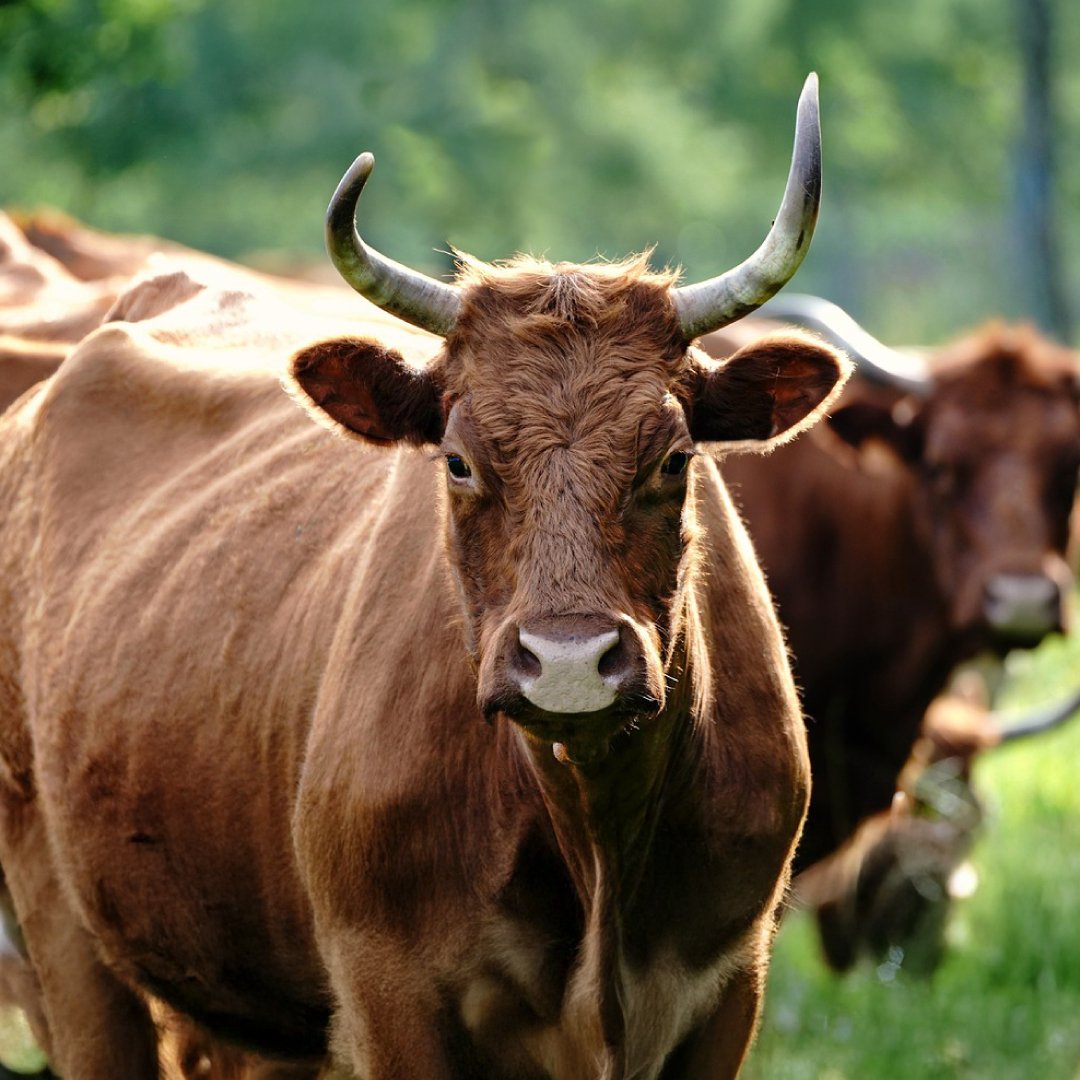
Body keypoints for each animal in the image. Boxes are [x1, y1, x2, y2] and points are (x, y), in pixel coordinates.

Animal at [0, 76, 851, 1079]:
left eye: (675, 459)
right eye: (457, 460)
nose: (568, 663)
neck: (594, 835)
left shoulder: (728, 983)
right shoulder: (388, 991)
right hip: (56, 923)